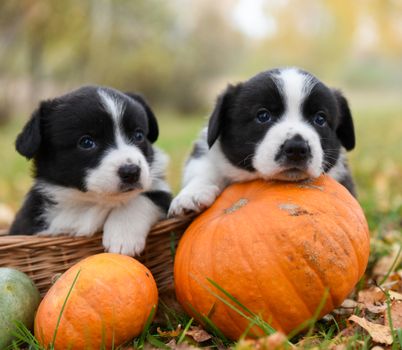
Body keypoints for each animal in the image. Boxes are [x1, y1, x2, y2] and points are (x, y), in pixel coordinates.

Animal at [10, 85, 171, 254]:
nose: (131, 171)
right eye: (86, 142)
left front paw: (123, 236)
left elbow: (144, 198)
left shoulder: (162, 193)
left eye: (138, 135)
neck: (91, 202)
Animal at [168, 67, 356, 217]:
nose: (296, 148)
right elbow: (203, 169)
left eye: (320, 119)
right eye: (263, 116)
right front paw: (191, 195)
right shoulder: (205, 154)